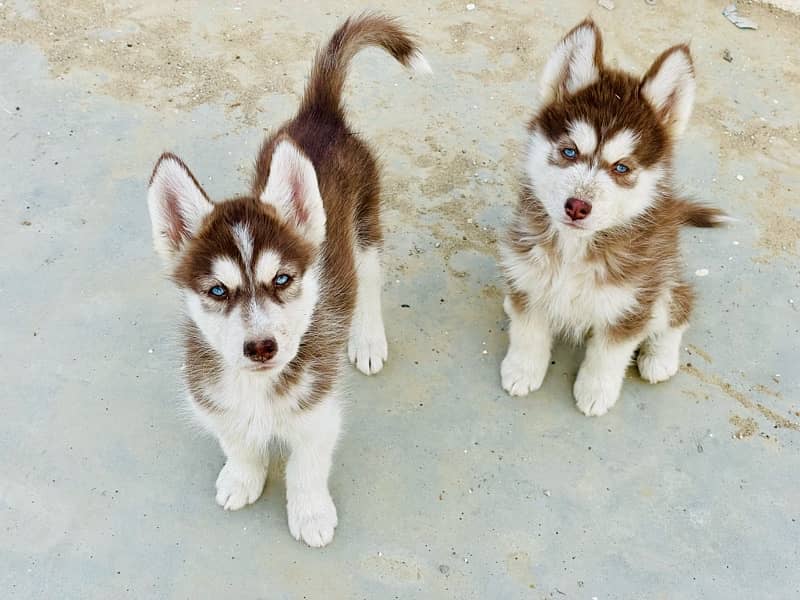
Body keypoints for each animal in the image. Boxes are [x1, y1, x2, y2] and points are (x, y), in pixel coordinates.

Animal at [145, 15, 432, 548]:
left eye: (282, 279)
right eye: (217, 290)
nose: (261, 347)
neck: (259, 387)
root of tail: (318, 115)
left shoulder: (318, 412)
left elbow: (306, 467)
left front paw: (311, 513)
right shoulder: (213, 401)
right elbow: (237, 442)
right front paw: (242, 477)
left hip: (365, 227)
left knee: (369, 282)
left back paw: (367, 338)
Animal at [504, 21, 728, 420]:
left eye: (621, 167)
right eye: (569, 151)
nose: (577, 206)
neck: (575, 250)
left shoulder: (631, 303)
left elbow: (607, 356)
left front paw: (595, 392)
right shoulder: (528, 277)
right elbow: (528, 330)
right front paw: (521, 370)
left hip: (662, 281)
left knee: (680, 307)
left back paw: (660, 357)